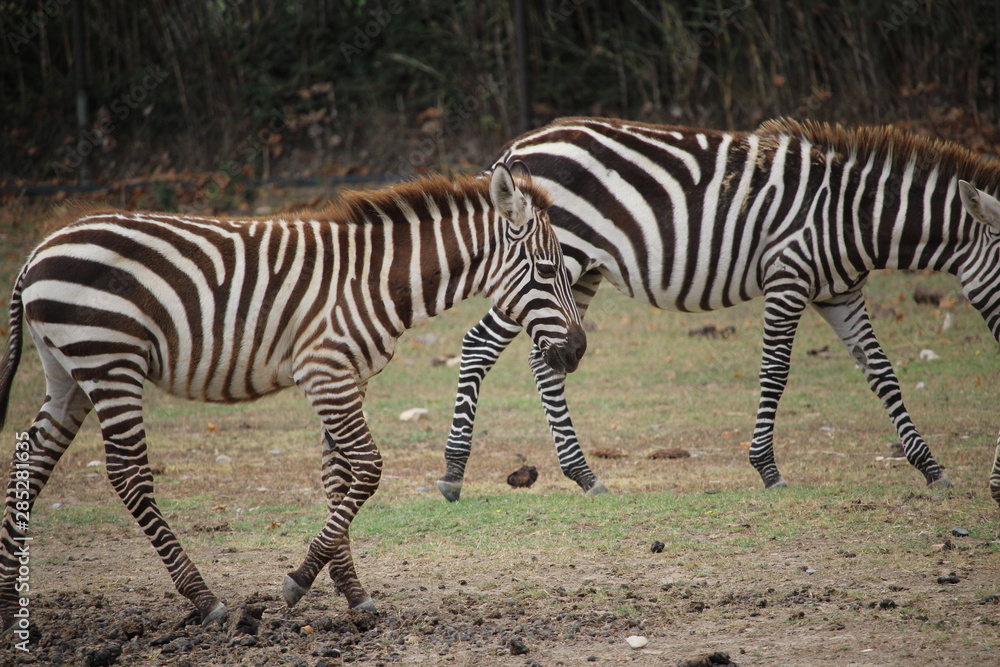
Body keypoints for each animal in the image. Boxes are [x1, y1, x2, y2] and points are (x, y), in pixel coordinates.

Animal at [0, 164, 588, 628]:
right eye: (547, 269)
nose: (579, 350)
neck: (374, 281)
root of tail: (38, 251)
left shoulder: (346, 377)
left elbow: (340, 477)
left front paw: (352, 593)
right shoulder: (325, 372)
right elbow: (369, 469)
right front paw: (300, 581)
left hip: (69, 372)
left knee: (32, 461)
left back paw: (10, 604)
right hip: (109, 359)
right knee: (127, 475)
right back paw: (204, 599)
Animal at [438, 117, 1000, 504]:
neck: (852, 216)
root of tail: (518, 146)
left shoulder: (839, 294)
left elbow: (882, 372)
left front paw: (931, 468)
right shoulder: (788, 276)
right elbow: (776, 371)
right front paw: (767, 469)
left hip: (579, 274)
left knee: (544, 360)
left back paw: (583, 474)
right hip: (548, 269)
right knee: (479, 344)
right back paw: (454, 474)